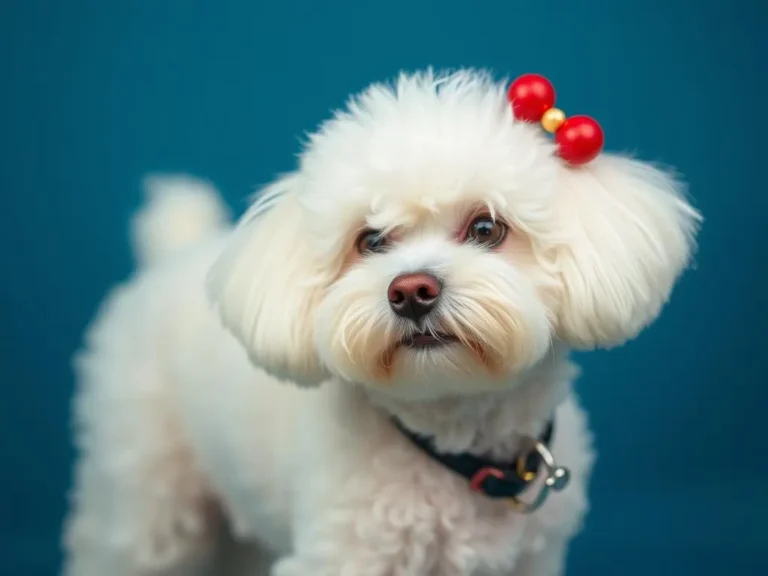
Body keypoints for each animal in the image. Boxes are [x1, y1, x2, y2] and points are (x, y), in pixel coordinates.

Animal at [63, 68, 704, 576]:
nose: (411, 291)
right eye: (370, 241)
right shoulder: (342, 555)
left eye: (486, 228)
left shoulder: (530, 560)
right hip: (144, 500)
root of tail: (173, 252)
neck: (455, 449)